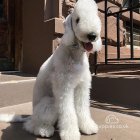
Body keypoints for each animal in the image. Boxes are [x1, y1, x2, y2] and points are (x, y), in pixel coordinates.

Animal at [0, 0, 101, 139]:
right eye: (77, 20)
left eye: (96, 16)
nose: (92, 35)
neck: (74, 54)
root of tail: (31, 116)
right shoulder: (63, 87)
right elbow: (68, 112)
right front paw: (71, 133)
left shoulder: (82, 87)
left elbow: (82, 108)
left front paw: (88, 127)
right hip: (49, 103)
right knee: (31, 125)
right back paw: (44, 130)